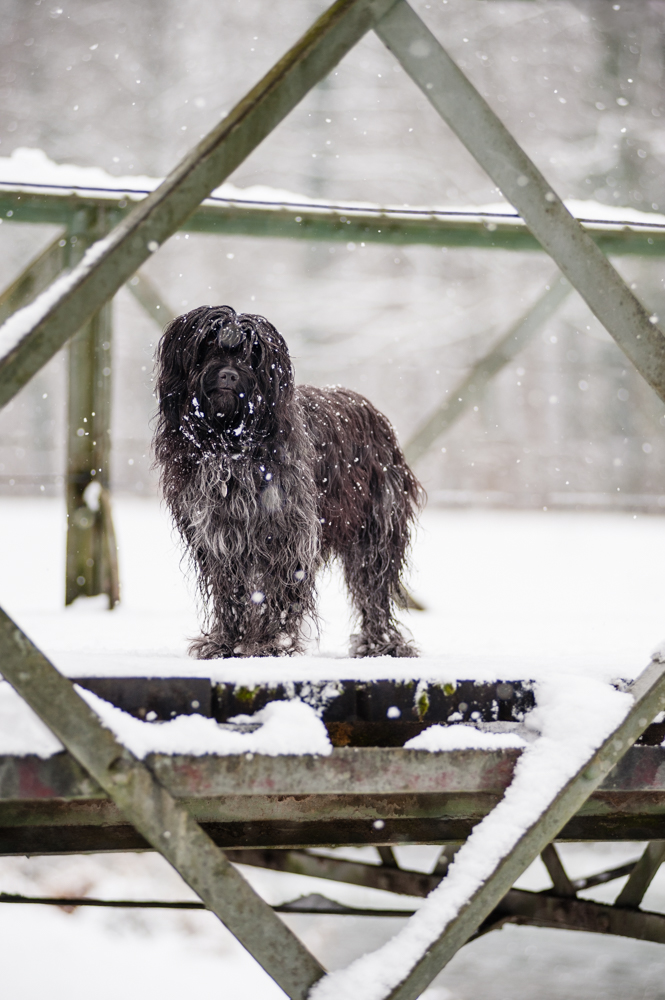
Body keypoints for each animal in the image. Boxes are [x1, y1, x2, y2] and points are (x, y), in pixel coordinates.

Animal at [154, 304, 422, 656]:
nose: (229, 374)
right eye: (209, 344)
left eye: (253, 353)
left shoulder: (287, 529)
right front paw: (228, 641)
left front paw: (272, 642)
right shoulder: (217, 535)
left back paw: (381, 643)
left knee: (373, 588)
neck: (229, 445)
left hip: (377, 525)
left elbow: (281, 587)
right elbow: (230, 589)